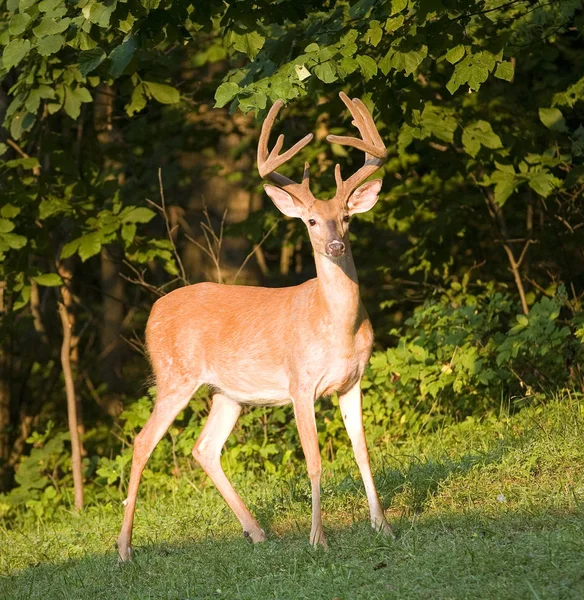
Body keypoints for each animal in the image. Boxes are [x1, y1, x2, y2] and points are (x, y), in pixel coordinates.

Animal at [116, 91, 394, 560]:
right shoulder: (301, 383)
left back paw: (257, 532)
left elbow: (363, 452)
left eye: (347, 217)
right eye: (311, 221)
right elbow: (315, 460)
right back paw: (124, 549)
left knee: (204, 448)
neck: (335, 326)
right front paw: (318, 539)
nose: (336, 245)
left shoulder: (353, 381)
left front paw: (382, 525)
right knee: (142, 441)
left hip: (227, 392)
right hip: (175, 374)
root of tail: (152, 313)